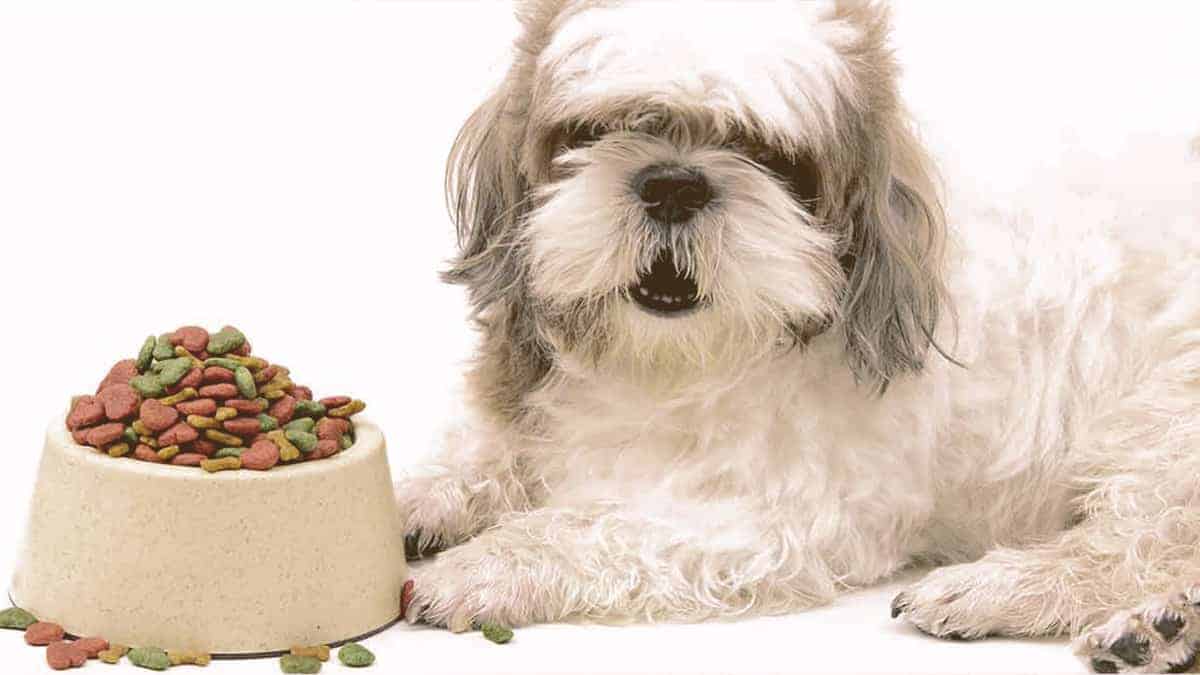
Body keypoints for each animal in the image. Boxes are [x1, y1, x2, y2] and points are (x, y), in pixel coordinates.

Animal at [398, 2, 1200, 667]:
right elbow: (484, 455)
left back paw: (1054, 602)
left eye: (768, 155)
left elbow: (590, 526)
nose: (674, 184)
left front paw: (485, 565)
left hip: (1167, 418)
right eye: (599, 130)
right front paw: (415, 500)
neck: (673, 362)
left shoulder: (781, 519)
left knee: (1133, 537)